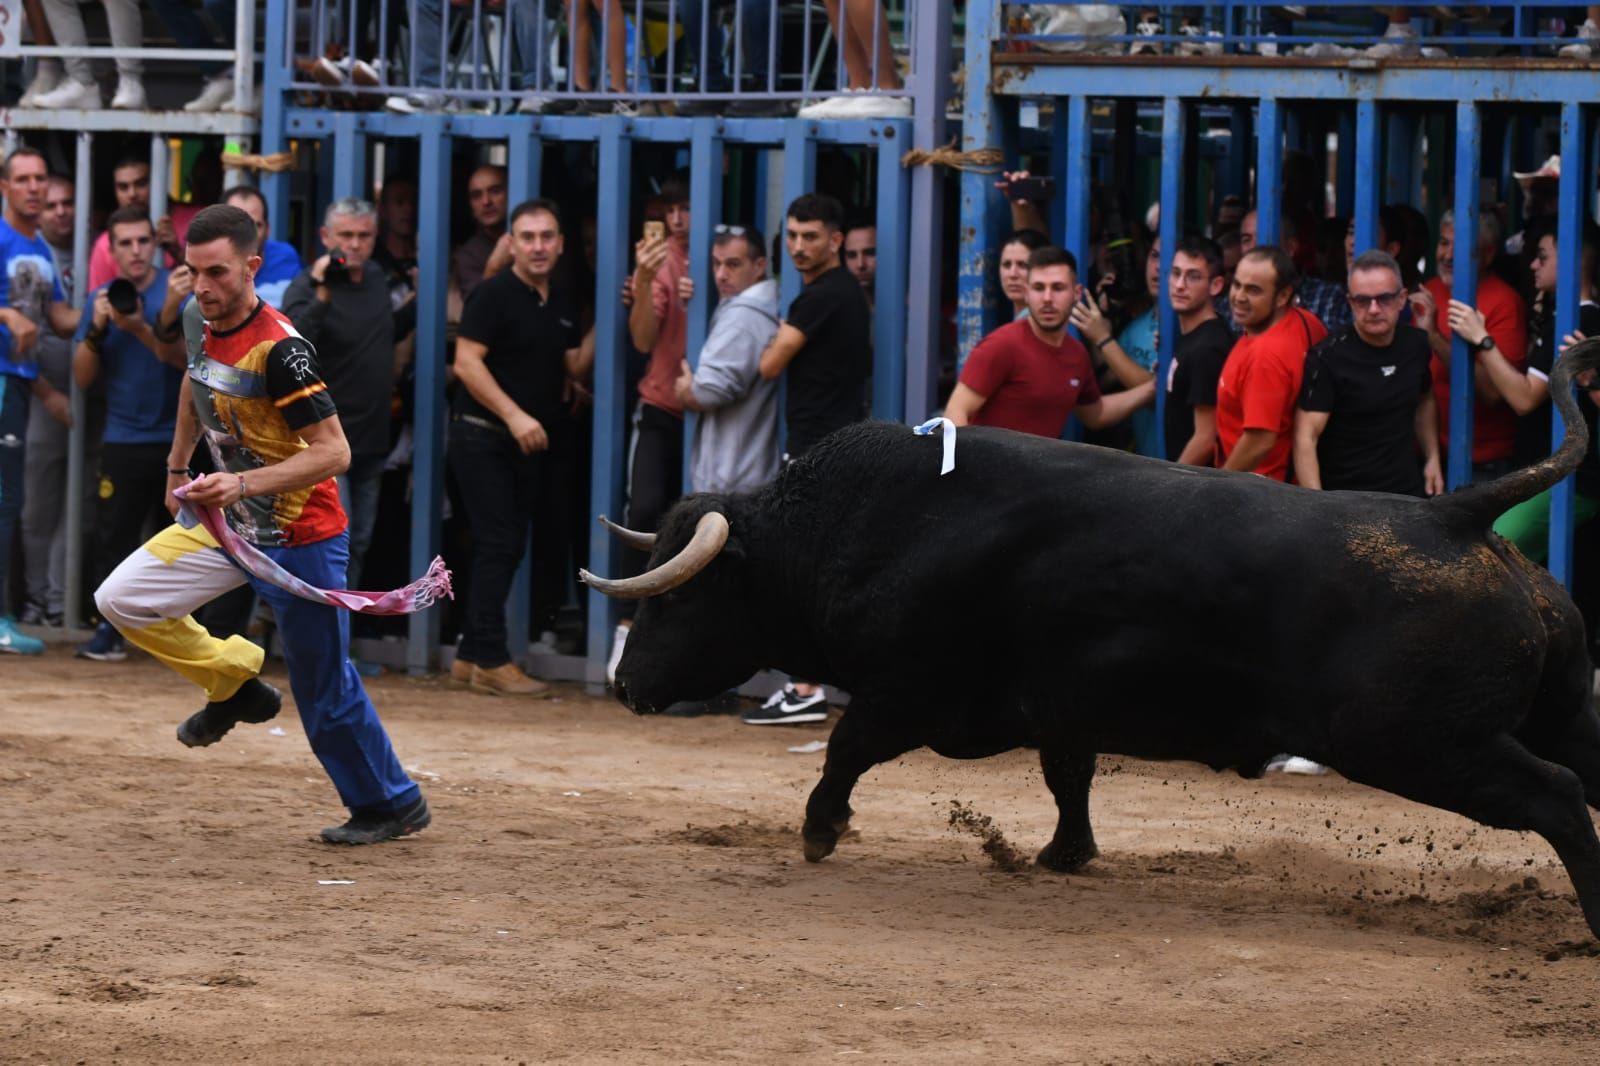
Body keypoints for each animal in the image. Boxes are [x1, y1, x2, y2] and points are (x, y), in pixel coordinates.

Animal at [582, 344, 1600, 934]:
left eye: (677, 600)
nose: (627, 686)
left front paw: (820, 831)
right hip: (1541, 715)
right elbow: (1066, 776)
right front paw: (1063, 854)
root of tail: (1457, 517)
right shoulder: (1059, 702)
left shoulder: (909, 690)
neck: (850, 525)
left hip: (1420, 745)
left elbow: (846, 747)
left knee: (1555, 797)